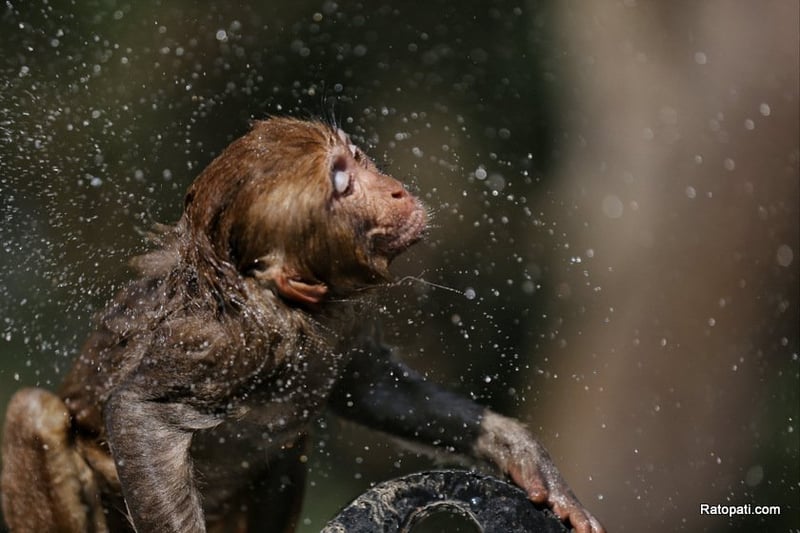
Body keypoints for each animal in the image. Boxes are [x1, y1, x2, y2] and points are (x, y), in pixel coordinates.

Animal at [1, 117, 605, 533]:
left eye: (356, 158)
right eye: (341, 183)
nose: (395, 190)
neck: (297, 309)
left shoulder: (346, 318)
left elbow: (371, 389)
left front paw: (517, 451)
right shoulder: (227, 342)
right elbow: (137, 411)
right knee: (33, 410)